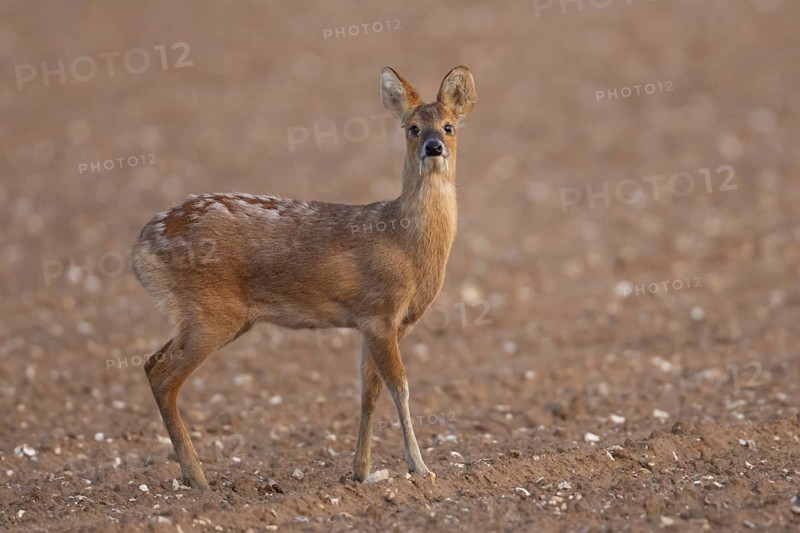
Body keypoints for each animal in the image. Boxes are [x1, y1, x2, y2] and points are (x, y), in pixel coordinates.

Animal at [131, 66, 477, 490]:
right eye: (413, 128)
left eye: (448, 126)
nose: (433, 147)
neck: (407, 244)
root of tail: (142, 247)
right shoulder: (379, 313)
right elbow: (400, 386)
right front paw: (420, 467)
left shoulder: (379, 322)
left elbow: (369, 391)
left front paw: (362, 471)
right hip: (211, 313)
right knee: (164, 376)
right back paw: (198, 478)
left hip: (206, 315)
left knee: (151, 363)